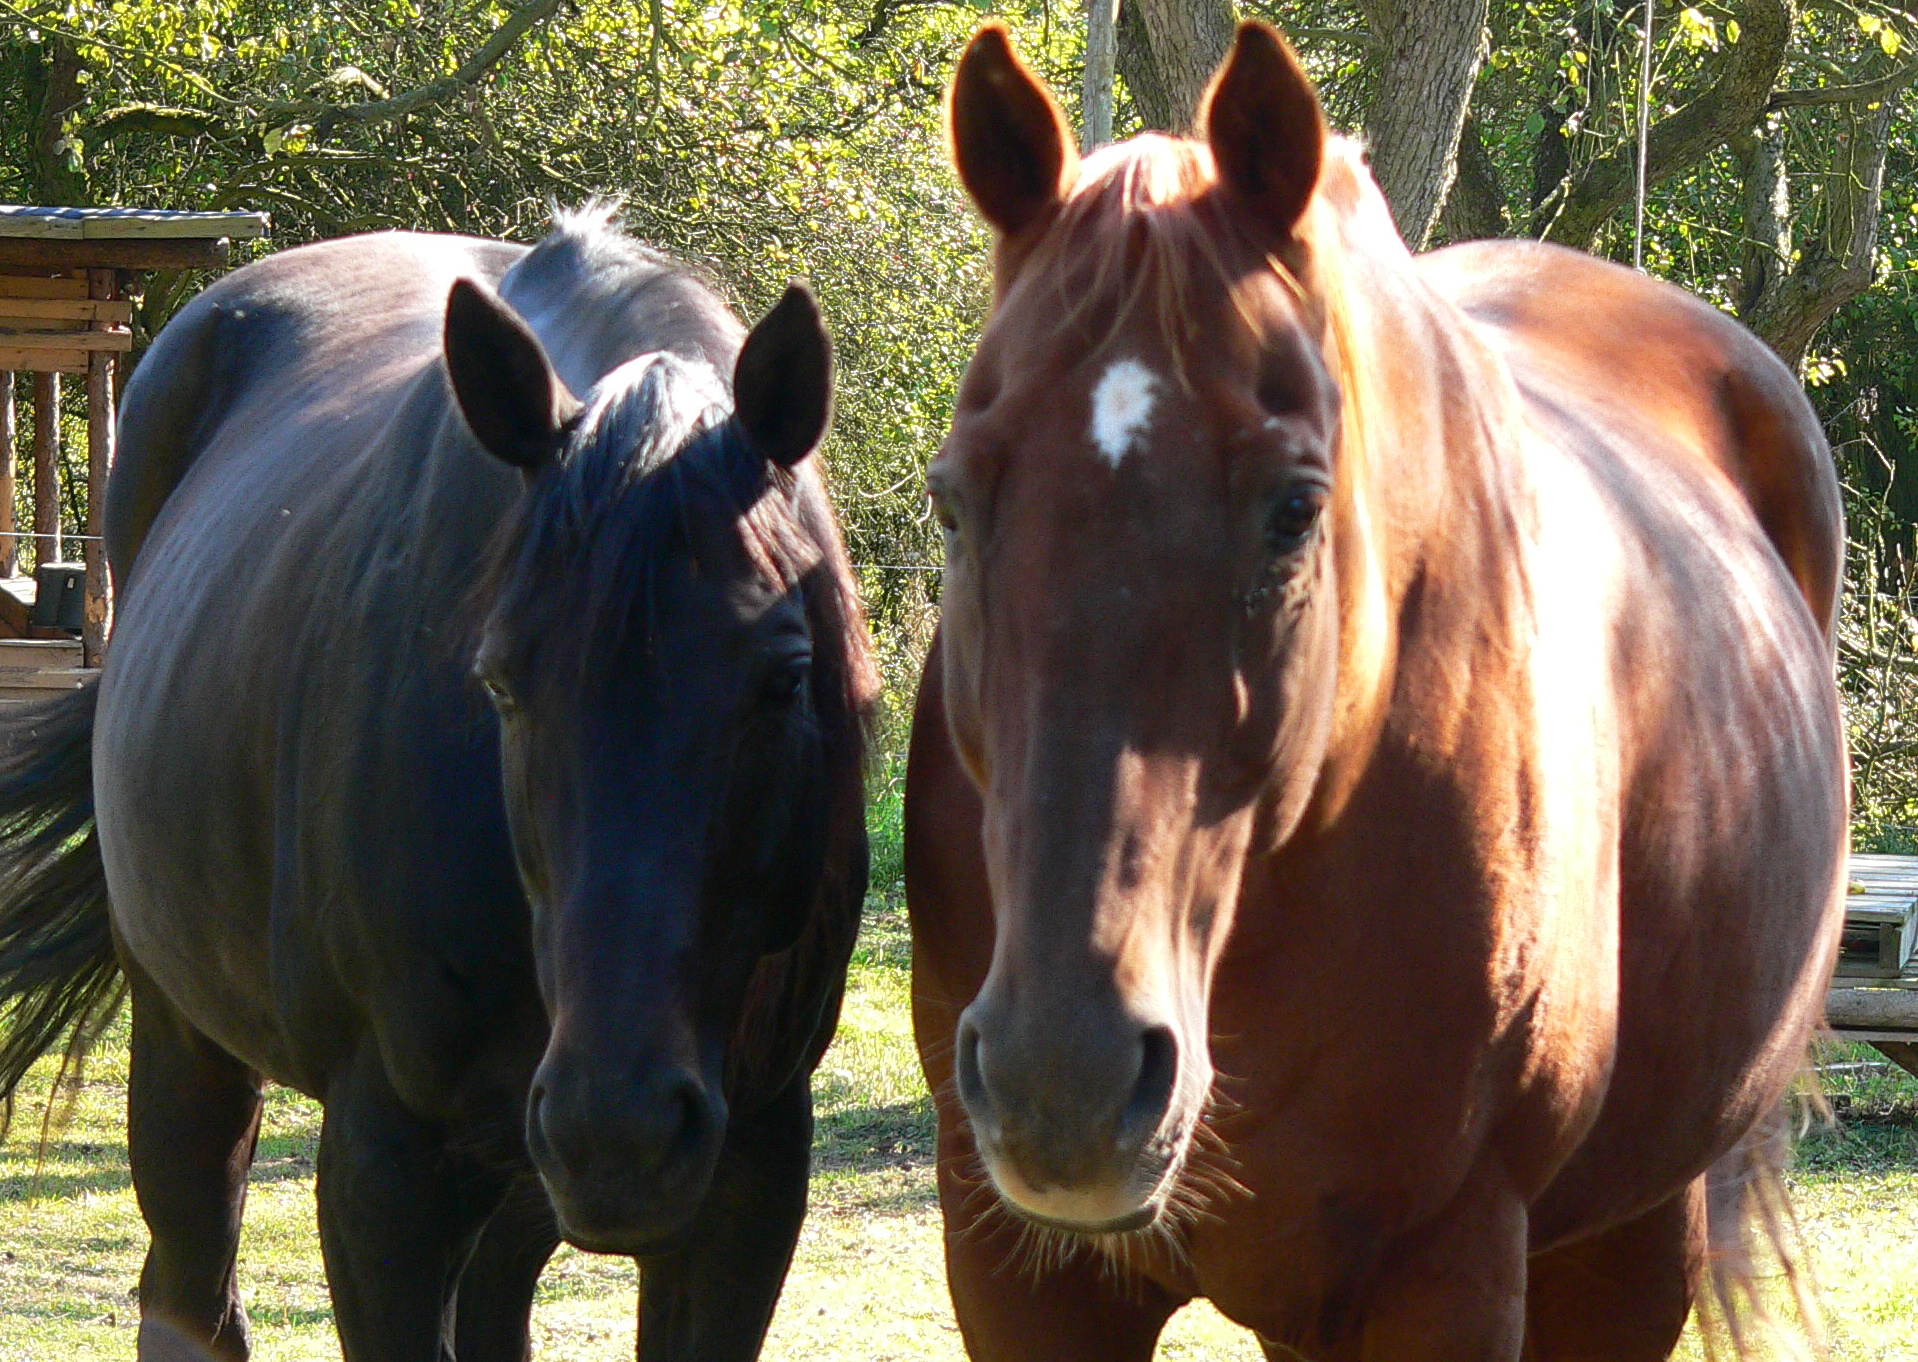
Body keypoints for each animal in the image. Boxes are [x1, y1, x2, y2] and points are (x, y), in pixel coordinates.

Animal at [0, 208, 878, 1358]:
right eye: (499, 680)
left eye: (783, 677)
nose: (621, 1128)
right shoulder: (386, 1171)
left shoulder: (753, 1171)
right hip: (188, 1042)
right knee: (188, 1286)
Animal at [905, 21, 1848, 1362]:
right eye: (952, 498)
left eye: (1296, 507)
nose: (1065, 1080)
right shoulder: (1022, 1273)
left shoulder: (1441, 1268)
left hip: (1629, 1236)